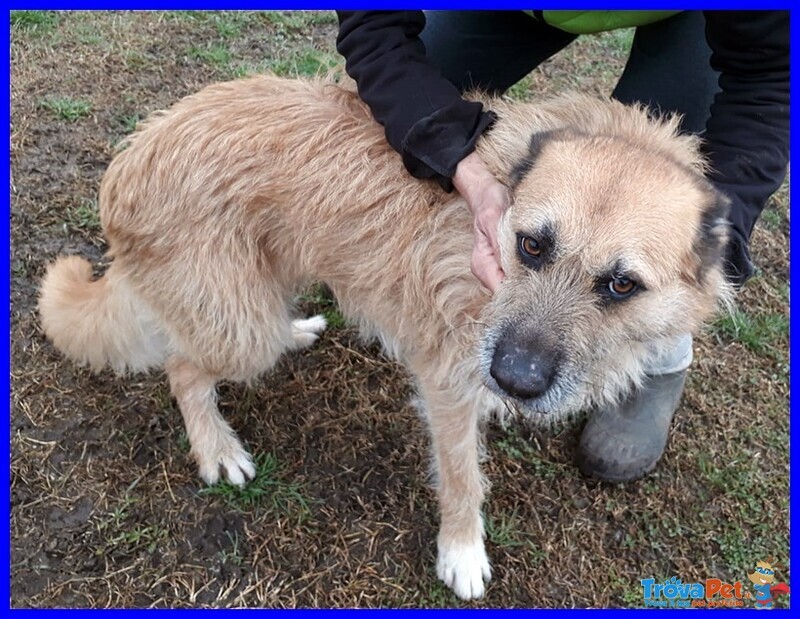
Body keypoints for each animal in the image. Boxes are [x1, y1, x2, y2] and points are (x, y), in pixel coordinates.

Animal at [40, 74, 736, 600]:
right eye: (531, 245)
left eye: (622, 285)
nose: (514, 379)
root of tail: (130, 158)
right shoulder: (450, 381)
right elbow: (462, 478)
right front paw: (462, 552)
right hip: (239, 329)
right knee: (183, 369)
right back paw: (216, 448)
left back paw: (296, 331)